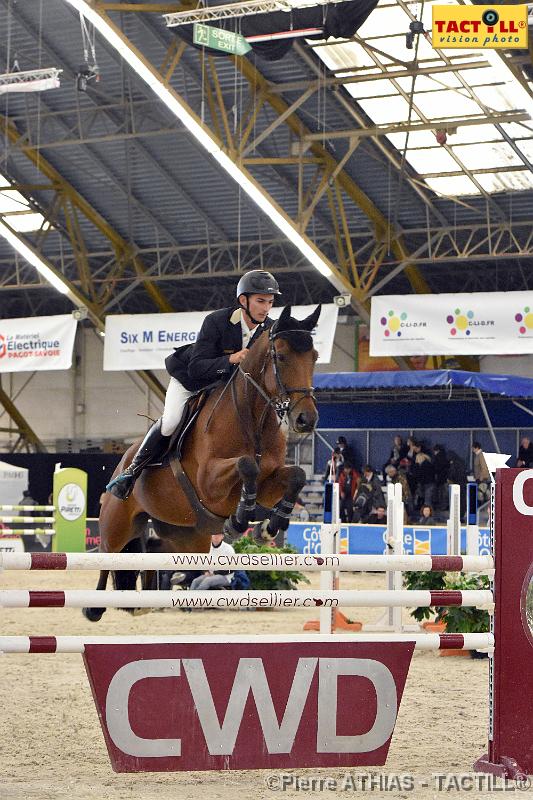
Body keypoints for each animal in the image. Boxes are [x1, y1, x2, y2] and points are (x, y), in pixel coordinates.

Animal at [83, 304, 320, 620]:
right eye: (281, 356)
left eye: (314, 356)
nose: (306, 419)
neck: (252, 419)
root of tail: (122, 461)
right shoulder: (209, 482)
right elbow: (247, 464)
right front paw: (240, 518)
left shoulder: (270, 482)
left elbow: (295, 476)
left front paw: (270, 524)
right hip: (116, 522)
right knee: (107, 554)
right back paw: (94, 607)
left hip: (184, 536)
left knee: (153, 557)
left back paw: (142, 603)